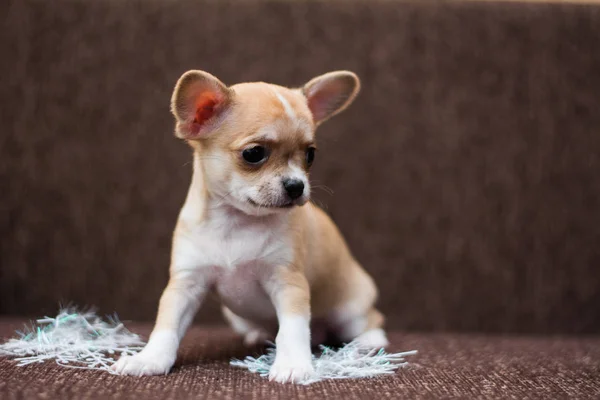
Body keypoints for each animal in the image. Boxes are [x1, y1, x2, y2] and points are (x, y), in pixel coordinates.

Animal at [113, 70, 390, 382]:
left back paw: (370, 340)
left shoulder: (288, 283)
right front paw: (149, 359)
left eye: (310, 155)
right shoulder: (185, 285)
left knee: (367, 320)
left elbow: (293, 329)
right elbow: (166, 326)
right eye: (254, 153)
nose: (297, 185)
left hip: (350, 308)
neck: (236, 223)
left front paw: (293, 364)